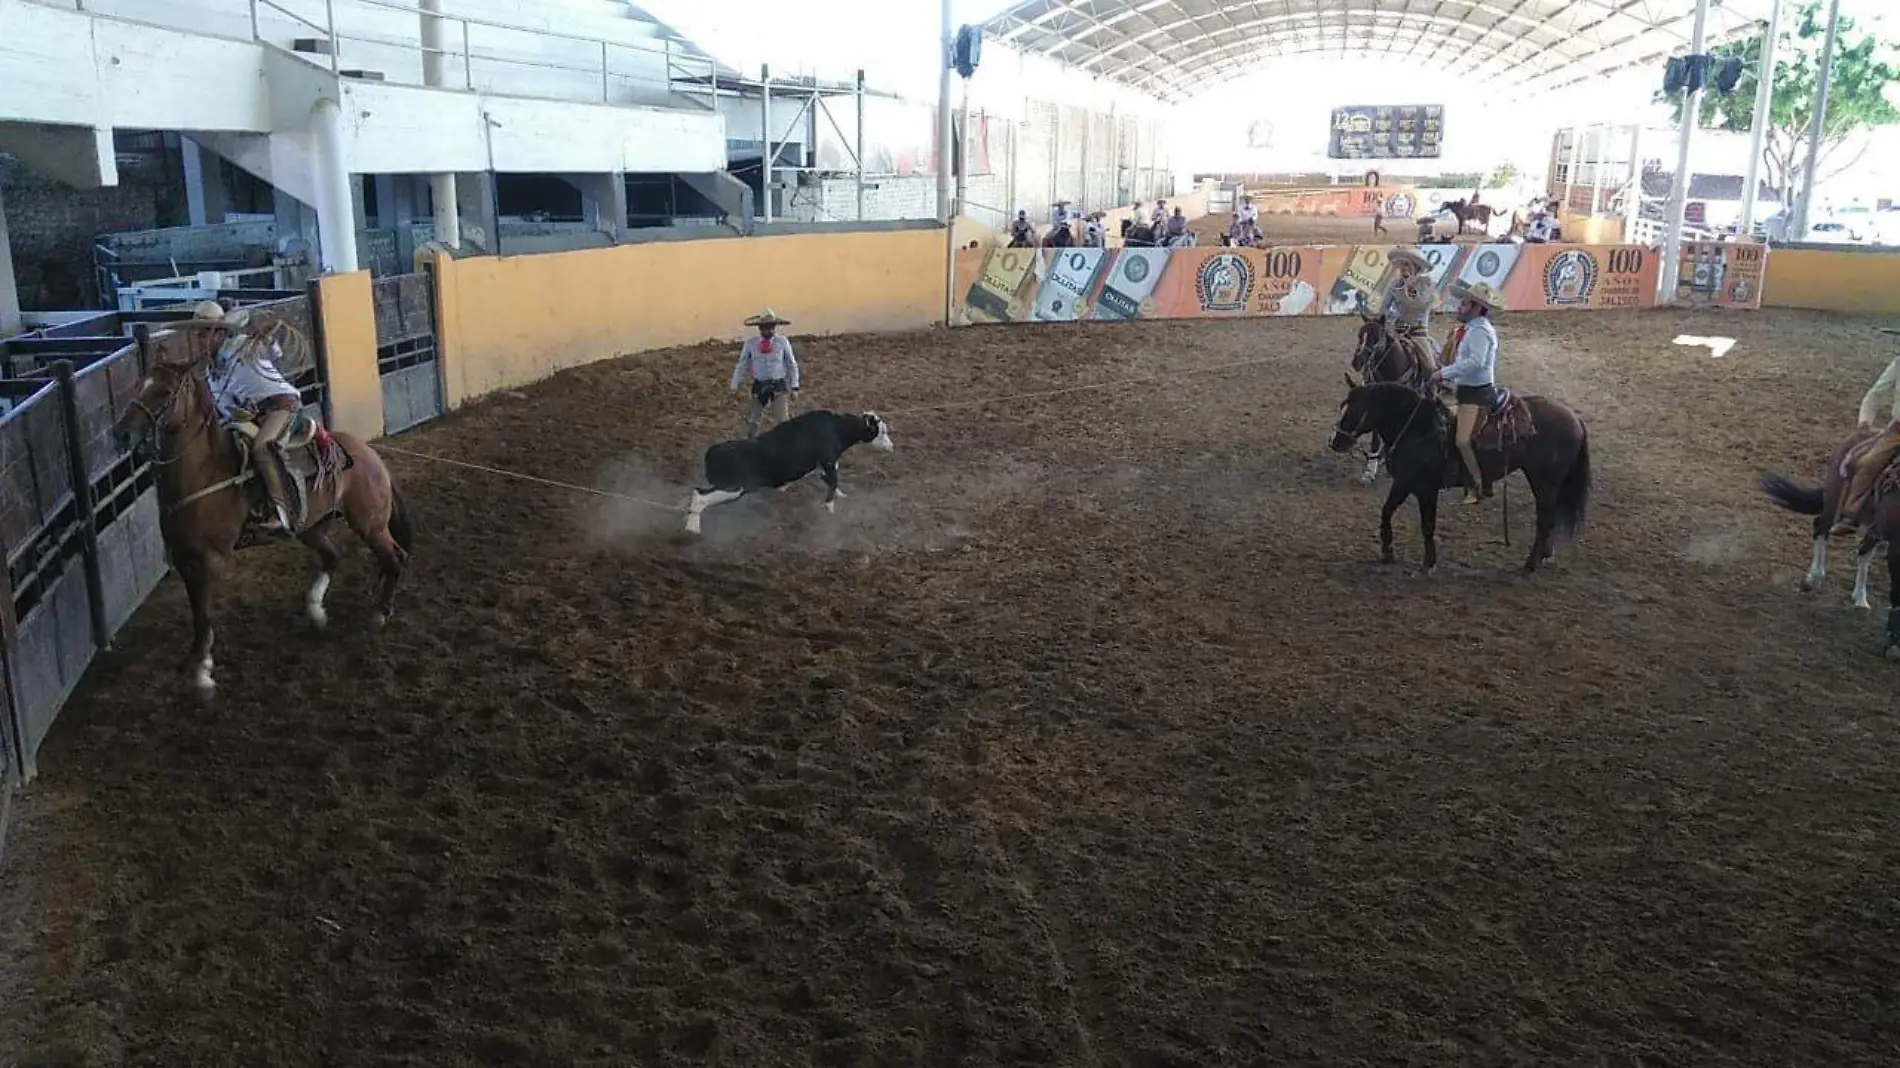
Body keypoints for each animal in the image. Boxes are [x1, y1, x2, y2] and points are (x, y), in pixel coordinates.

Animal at [113, 317, 414, 699]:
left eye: (165, 393)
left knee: (394, 557)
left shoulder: (211, 559)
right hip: (311, 527)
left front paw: (203, 674)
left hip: (369, 523)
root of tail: (370, 455)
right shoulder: (184, 558)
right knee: (334, 557)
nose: (121, 434)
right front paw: (192, 661)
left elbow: (204, 614)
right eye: (139, 385)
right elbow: (196, 611)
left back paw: (379, 612)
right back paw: (317, 613)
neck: (203, 470)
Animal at [1330, 376, 1596, 570]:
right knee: (1550, 519)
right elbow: (1386, 512)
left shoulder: (1425, 489)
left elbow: (1427, 525)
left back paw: (1531, 563)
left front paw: (1429, 563)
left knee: (1545, 521)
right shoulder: (1404, 483)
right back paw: (1543, 556)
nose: (1336, 442)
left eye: (1356, 410)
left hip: (1544, 483)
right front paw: (1387, 552)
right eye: (1343, 405)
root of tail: (1575, 419)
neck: (1417, 429)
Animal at [1748, 419, 1900, 653]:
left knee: (1864, 551)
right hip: (1834, 503)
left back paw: (1860, 599)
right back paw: (1813, 578)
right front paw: (1893, 642)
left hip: (1875, 526)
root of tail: (1864, 430)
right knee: (1821, 528)